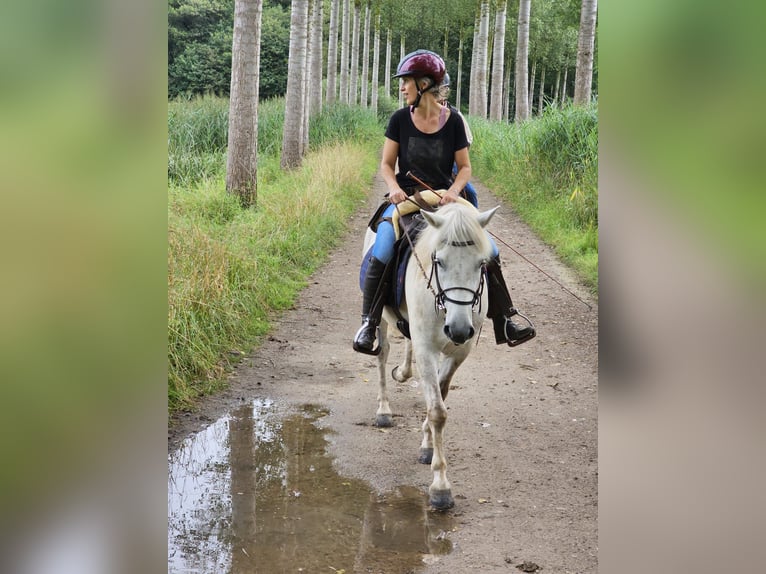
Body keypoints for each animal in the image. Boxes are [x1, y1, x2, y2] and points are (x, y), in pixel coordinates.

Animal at [364, 202, 500, 512]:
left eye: (481, 264)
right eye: (439, 262)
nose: (459, 329)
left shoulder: (459, 351)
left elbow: (440, 394)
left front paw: (427, 444)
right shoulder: (427, 347)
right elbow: (437, 411)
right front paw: (440, 487)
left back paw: (403, 372)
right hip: (381, 320)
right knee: (382, 355)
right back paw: (384, 410)